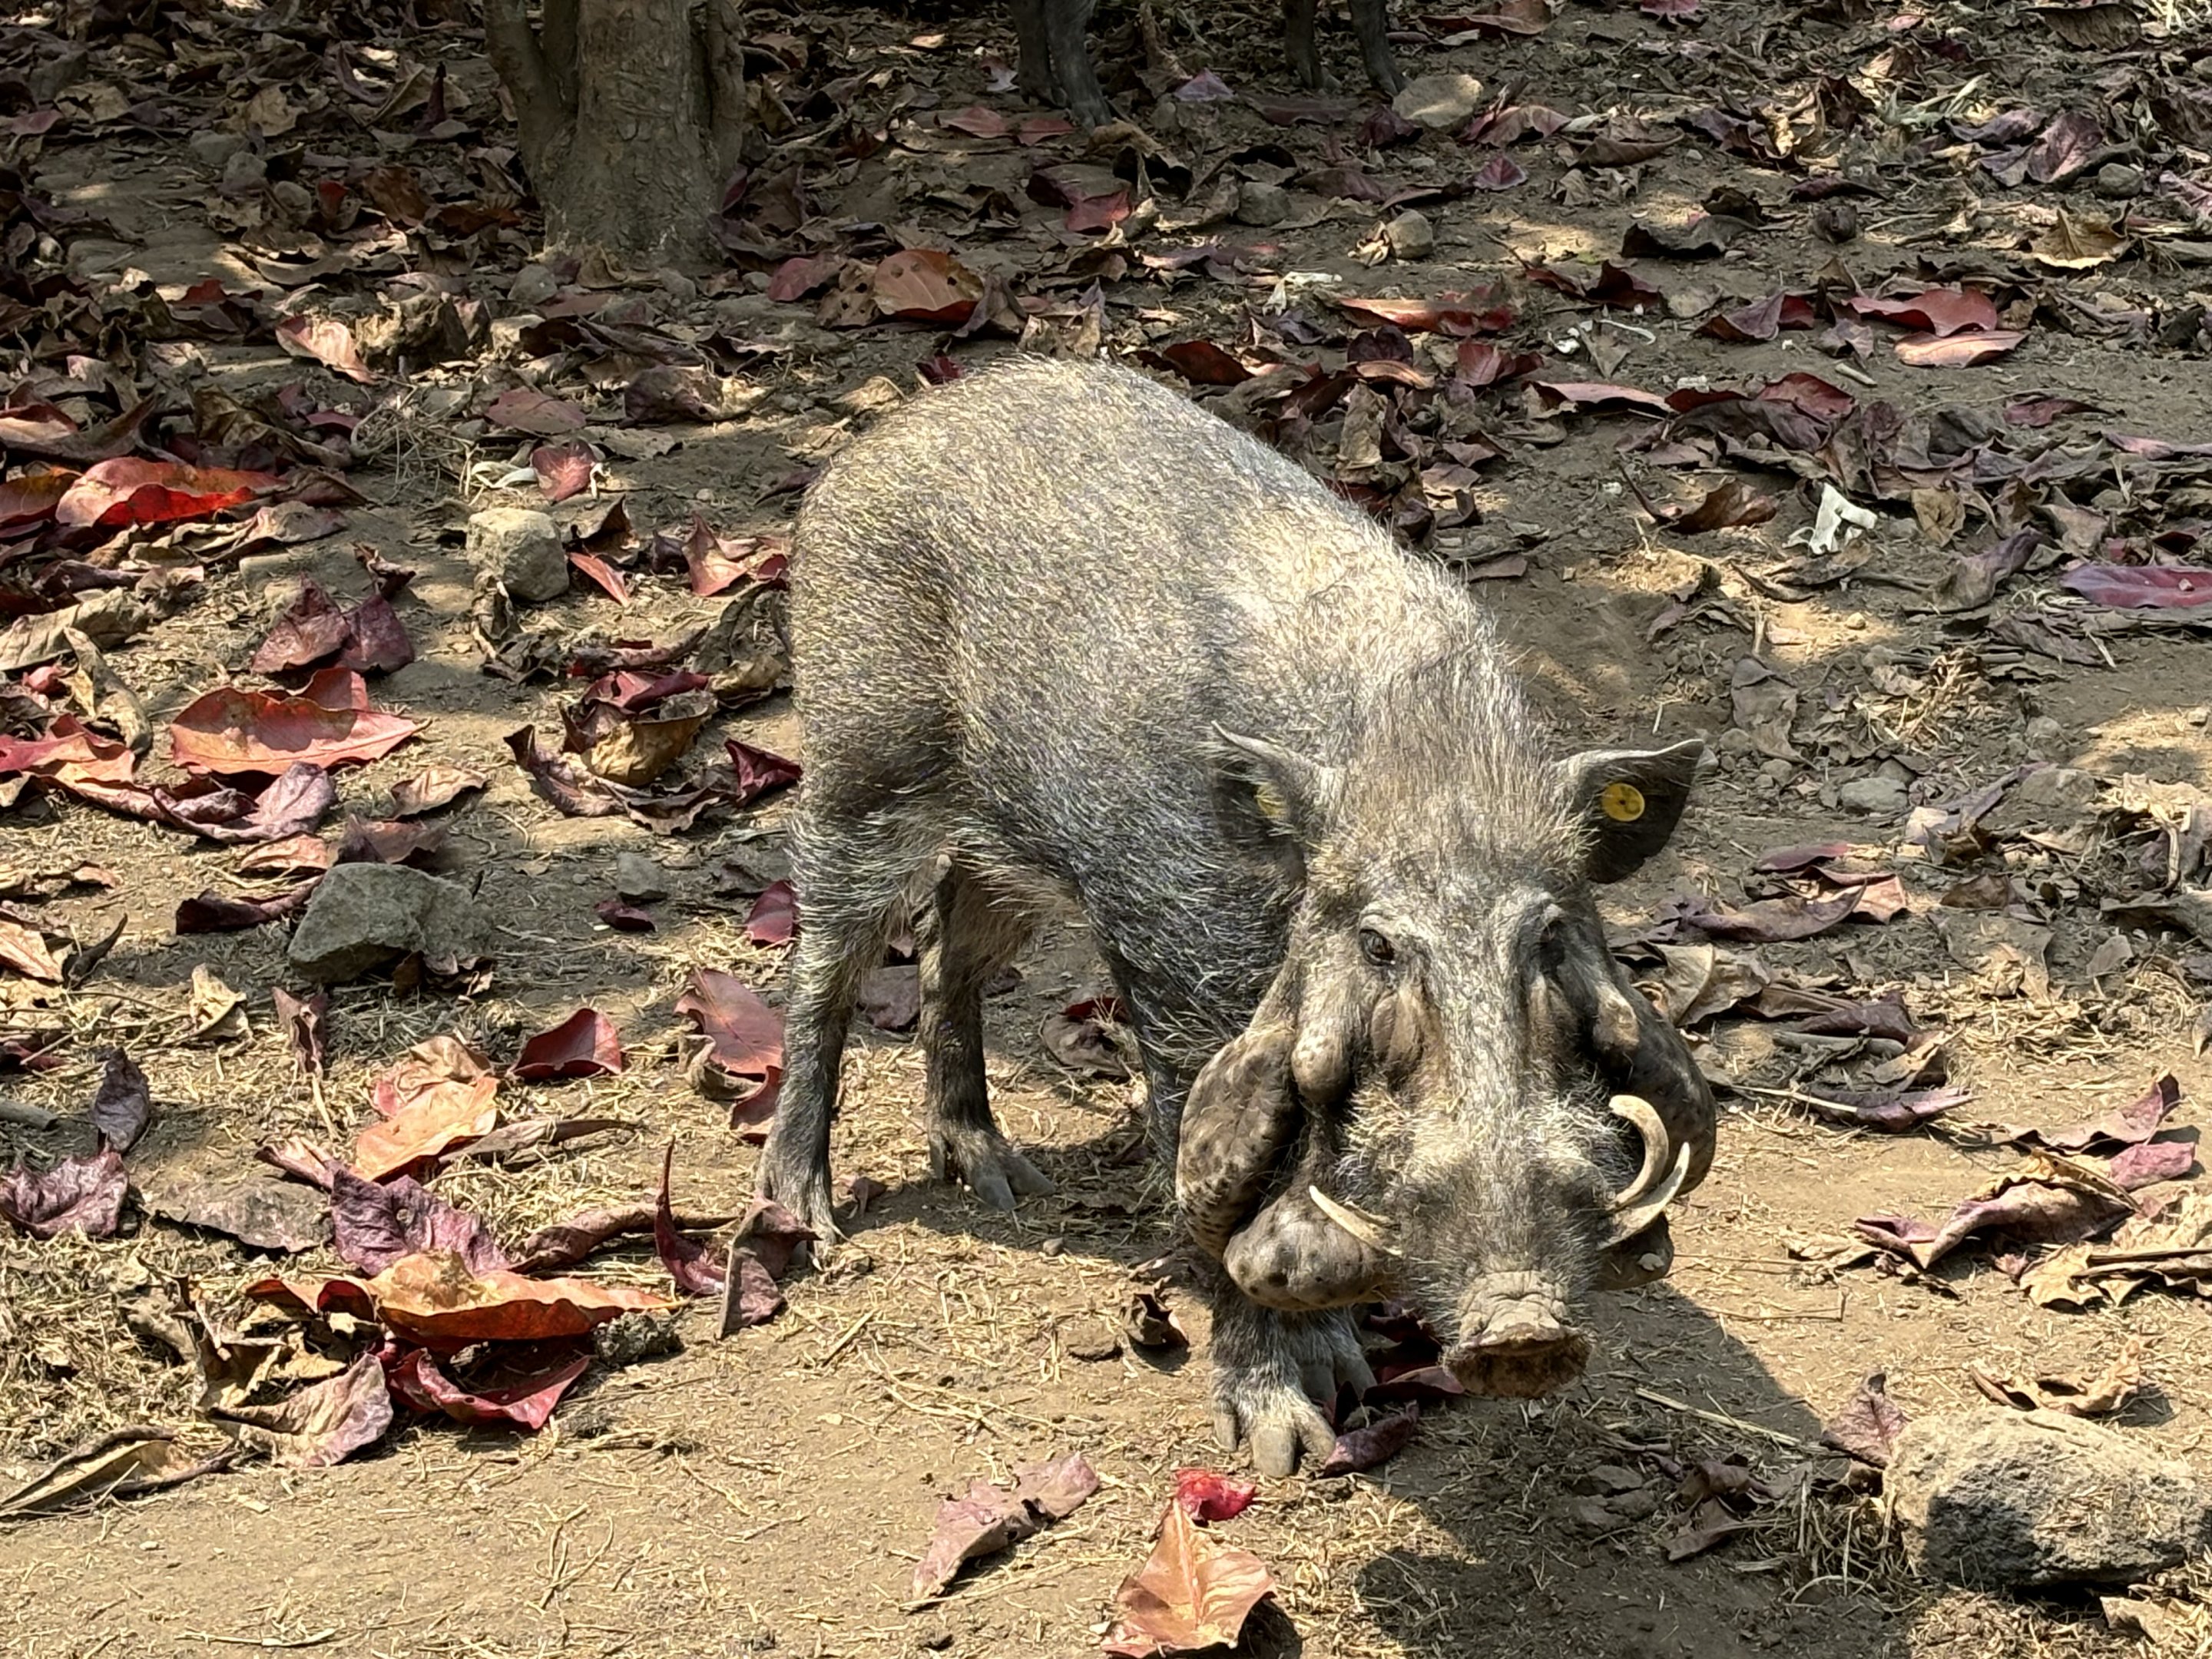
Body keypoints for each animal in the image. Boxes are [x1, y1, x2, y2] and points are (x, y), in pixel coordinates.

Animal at [756, 356, 1716, 1475]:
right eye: (1375, 942)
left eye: (1553, 935)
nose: (1524, 1333)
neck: (1429, 772)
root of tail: (895, 425)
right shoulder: (1177, 960)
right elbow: (1227, 1170)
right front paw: (1285, 1443)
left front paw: (1345, 1376)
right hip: (861, 765)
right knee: (827, 966)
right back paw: (805, 1217)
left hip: (1011, 846)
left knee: (953, 953)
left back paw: (1000, 1178)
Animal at [1011, 0, 1405, 129]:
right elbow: (1369, 11)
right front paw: (1397, 85)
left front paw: (1320, 80)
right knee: (1061, 19)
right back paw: (1098, 117)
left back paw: (1047, 93)